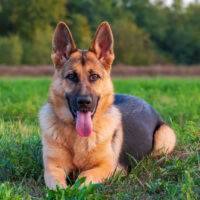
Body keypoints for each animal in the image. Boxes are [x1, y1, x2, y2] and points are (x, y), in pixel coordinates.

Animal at [39, 21, 177, 190]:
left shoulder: (107, 167)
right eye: (71, 76)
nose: (84, 102)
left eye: (94, 76)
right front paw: (65, 191)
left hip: (163, 139)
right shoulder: (53, 168)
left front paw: (75, 189)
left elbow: (84, 176)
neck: (76, 137)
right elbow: (58, 186)